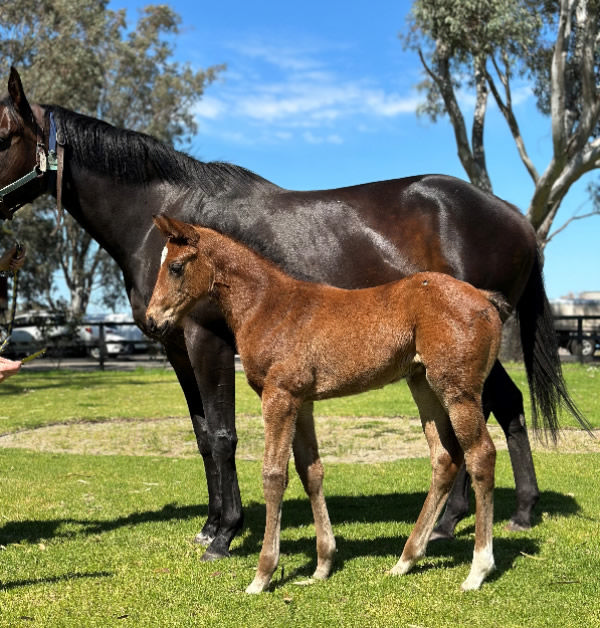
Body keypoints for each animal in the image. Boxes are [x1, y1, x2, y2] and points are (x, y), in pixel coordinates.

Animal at [148, 216, 504, 592]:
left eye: (175, 267)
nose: (153, 320)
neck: (268, 306)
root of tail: (484, 298)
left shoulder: (279, 396)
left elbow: (274, 475)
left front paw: (262, 575)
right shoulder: (302, 402)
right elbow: (311, 472)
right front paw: (322, 565)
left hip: (457, 390)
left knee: (481, 454)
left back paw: (478, 569)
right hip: (422, 385)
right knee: (444, 458)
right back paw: (405, 561)